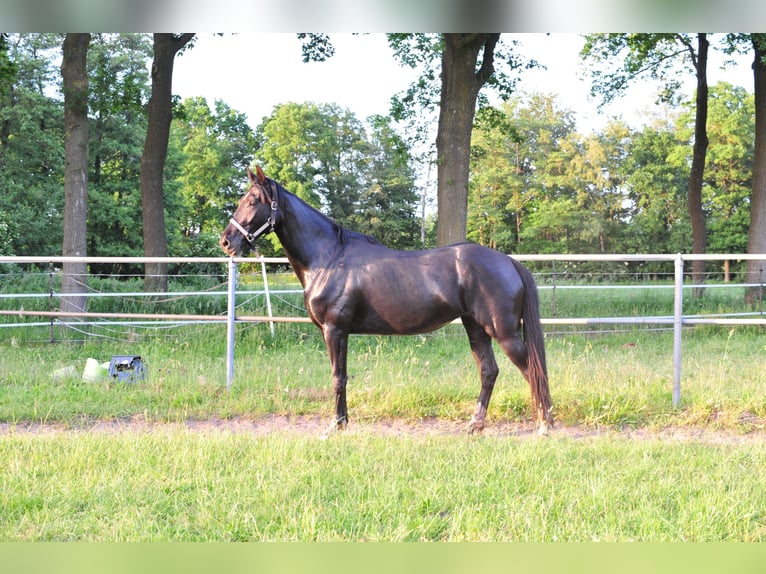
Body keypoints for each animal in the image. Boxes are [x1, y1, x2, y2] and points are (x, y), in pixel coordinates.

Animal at [220, 166, 553, 436]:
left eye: (253, 200)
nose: (226, 241)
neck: (329, 257)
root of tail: (508, 261)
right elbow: (342, 377)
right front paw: (343, 422)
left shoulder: (334, 330)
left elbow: (338, 377)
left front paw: (336, 425)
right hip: (476, 328)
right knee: (489, 371)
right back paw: (475, 425)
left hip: (504, 332)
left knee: (532, 370)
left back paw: (544, 425)